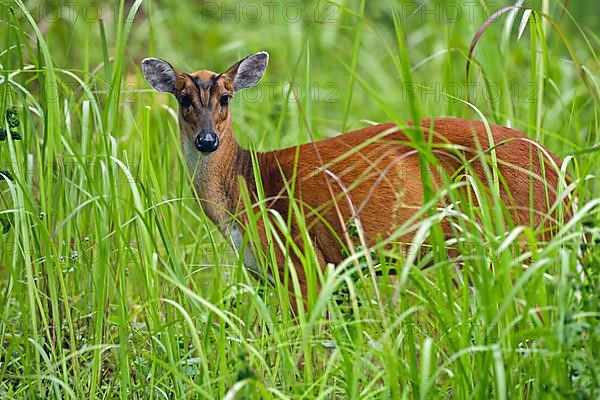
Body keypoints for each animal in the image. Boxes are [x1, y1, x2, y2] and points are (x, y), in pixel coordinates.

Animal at [141, 50, 568, 310]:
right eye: (182, 97)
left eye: (226, 97)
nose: (207, 140)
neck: (245, 190)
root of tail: (559, 170)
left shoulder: (301, 259)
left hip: (522, 235)